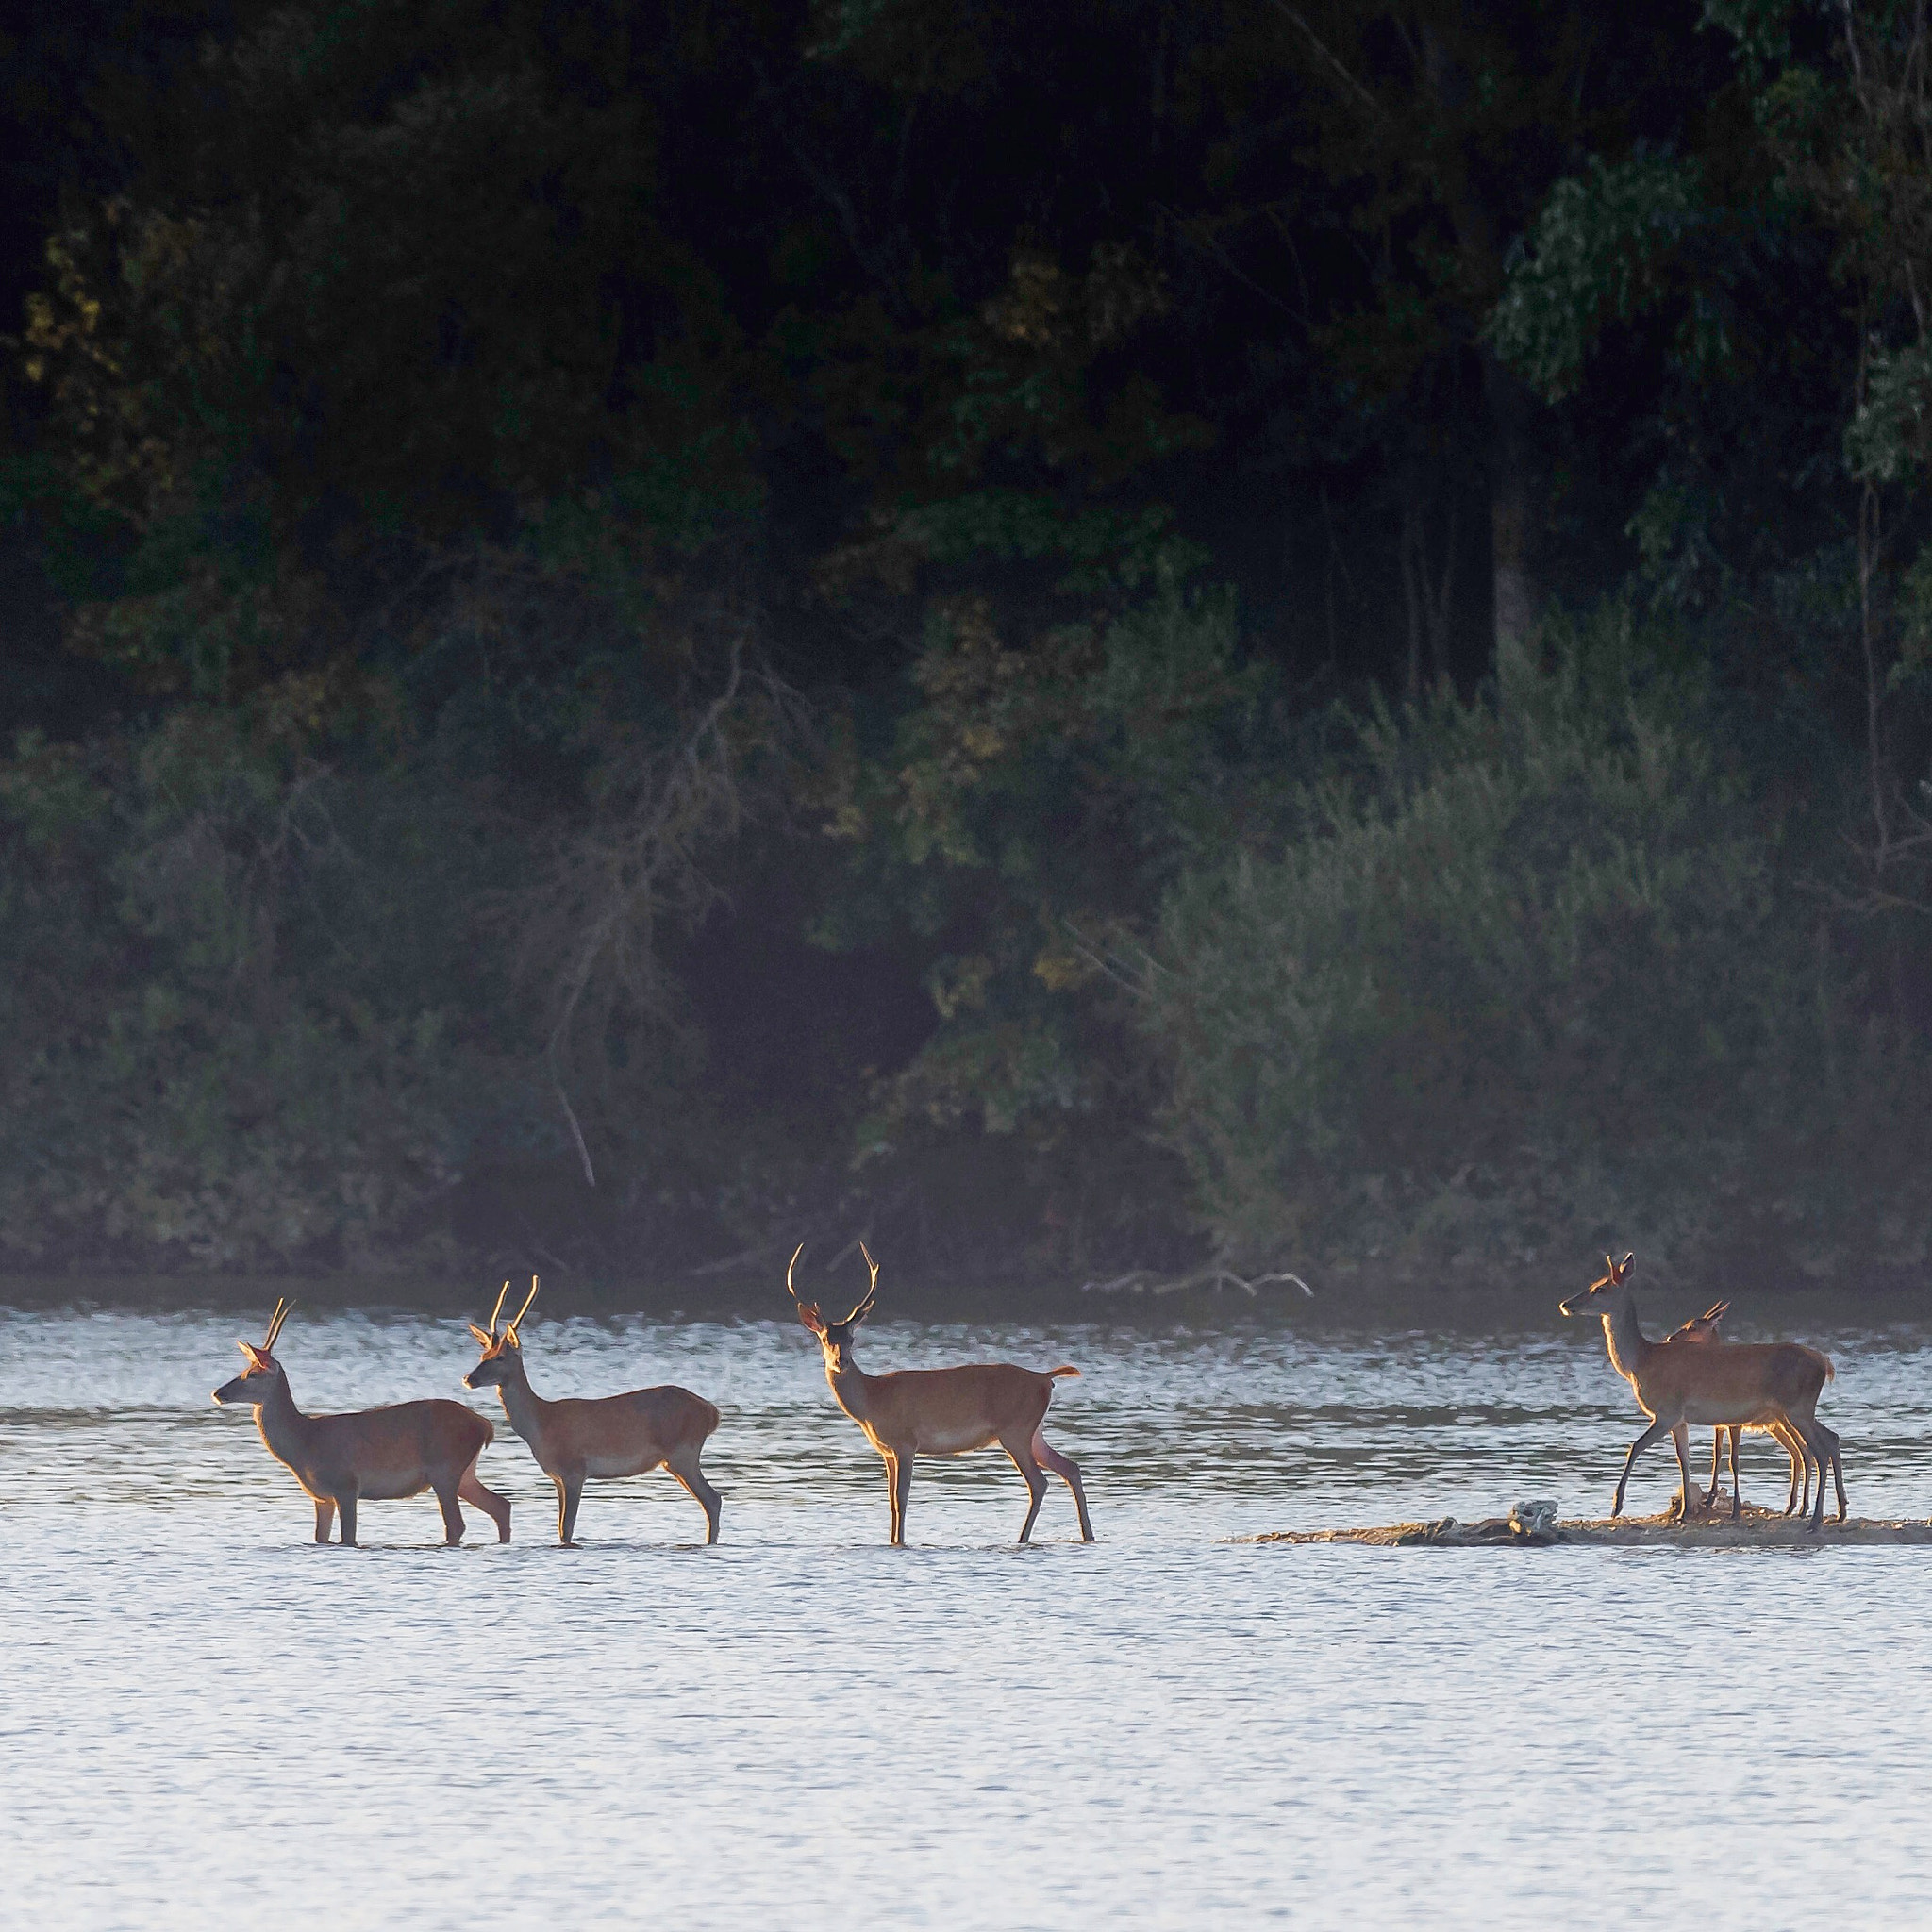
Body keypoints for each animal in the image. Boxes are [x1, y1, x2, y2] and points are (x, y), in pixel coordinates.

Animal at [213, 1291, 513, 1545]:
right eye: (243, 1370)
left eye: (253, 1374)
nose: (218, 1392)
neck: (305, 1442)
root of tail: (485, 1425)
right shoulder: (321, 1497)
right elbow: (320, 1538)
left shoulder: (347, 1485)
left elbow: (349, 1537)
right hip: (464, 1474)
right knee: (501, 1506)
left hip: (445, 1470)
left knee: (457, 1524)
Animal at [461, 1274, 726, 1545]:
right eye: (483, 1355)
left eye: (500, 1357)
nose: (469, 1378)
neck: (542, 1424)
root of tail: (711, 1412)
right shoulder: (557, 1476)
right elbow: (560, 1527)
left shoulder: (574, 1470)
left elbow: (566, 1527)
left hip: (683, 1453)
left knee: (712, 1499)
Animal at [780, 1243, 1090, 1545]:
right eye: (825, 1339)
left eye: (852, 1339)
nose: (840, 1361)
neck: (871, 1400)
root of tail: (1044, 1378)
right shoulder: (886, 1451)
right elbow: (890, 1501)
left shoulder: (905, 1443)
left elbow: (901, 1500)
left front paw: (900, 1542)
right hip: (1034, 1432)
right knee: (1071, 1468)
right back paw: (1088, 1535)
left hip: (1016, 1430)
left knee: (1039, 1482)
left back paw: (1022, 1539)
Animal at [1553, 1252, 1839, 1538]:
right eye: (1593, 1283)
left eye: (1600, 1288)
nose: (1566, 1304)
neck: (1640, 1362)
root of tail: (1824, 1364)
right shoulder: (1680, 1420)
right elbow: (1684, 1460)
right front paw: (1684, 1512)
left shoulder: (1667, 1411)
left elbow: (1635, 1447)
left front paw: (1616, 1506)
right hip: (1795, 1412)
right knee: (1828, 1440)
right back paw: (1832, 1513)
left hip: (1796, 1409)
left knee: (1818, 1451)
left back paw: (1815, 1520)